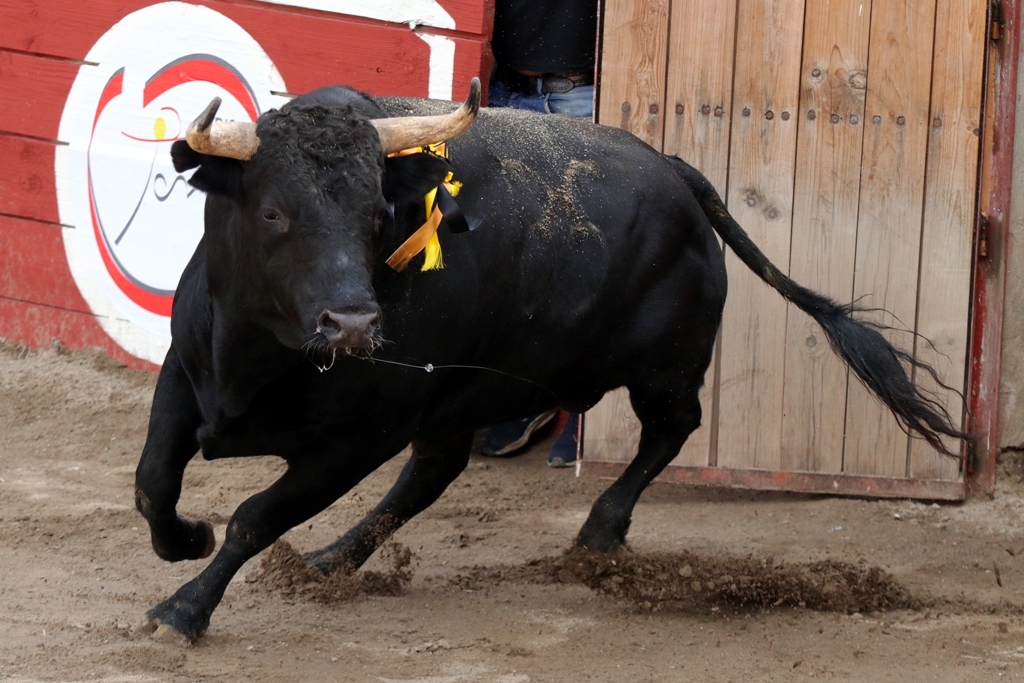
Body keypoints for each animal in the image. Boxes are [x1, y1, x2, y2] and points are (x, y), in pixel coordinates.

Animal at [132, 81, 962, 643]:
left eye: (376, 214)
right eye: (274, 210)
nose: (355, 324)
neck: (260, 358)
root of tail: (675, 171)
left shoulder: (359, 439)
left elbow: (254, 516)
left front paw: (182, 608)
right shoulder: (184, 375)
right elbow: (153, 484)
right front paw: (186, 540)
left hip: (665, 367)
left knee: (672, 429)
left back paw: (600, 530)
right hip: (467, 395)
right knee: (434, 473)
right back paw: (332, 557)